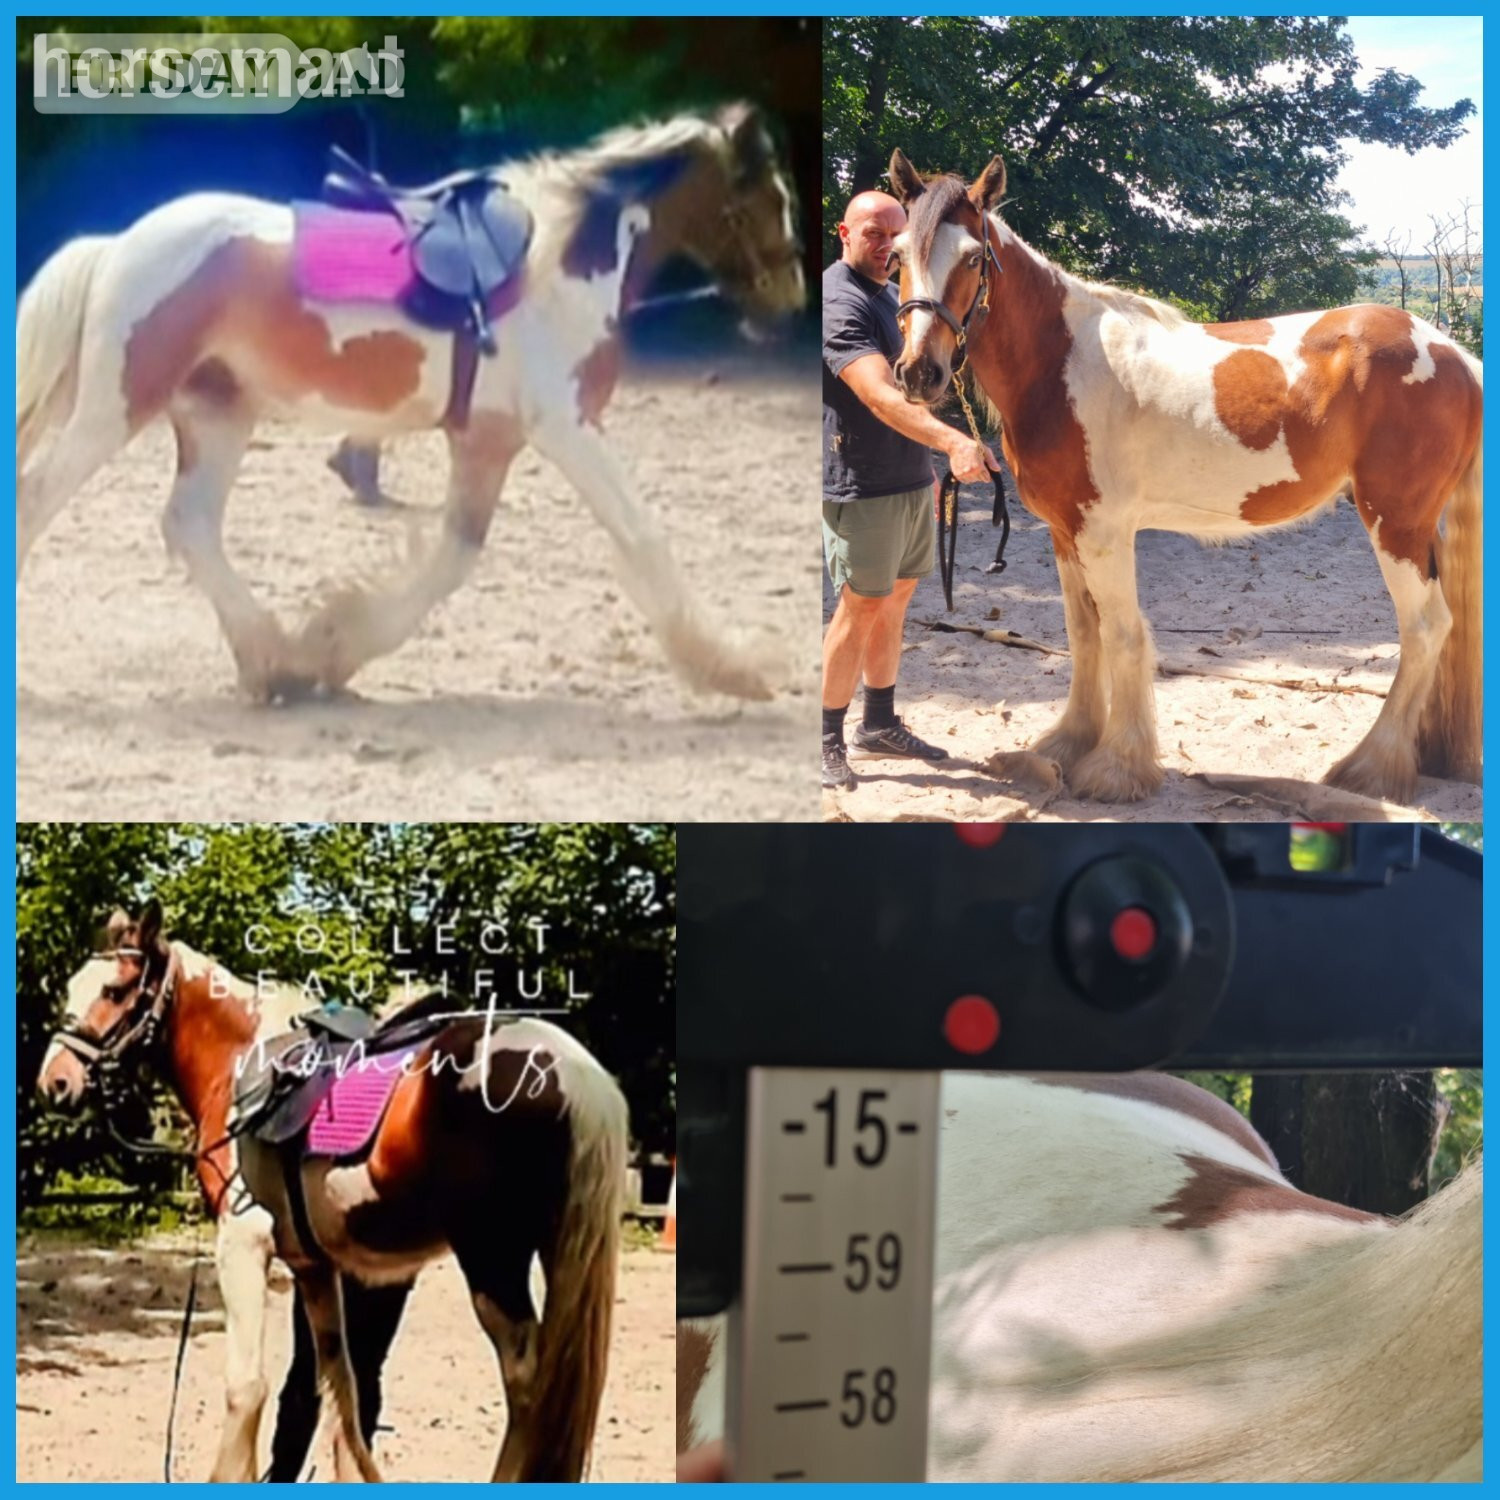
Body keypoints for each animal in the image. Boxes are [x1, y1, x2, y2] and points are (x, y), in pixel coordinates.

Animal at [16, 103, 804, 705]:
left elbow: (454, 556)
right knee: (39, 496)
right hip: (118, 407)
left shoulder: (488, 441)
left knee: (192, 526)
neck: (559, 269)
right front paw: (735, 667)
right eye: (768, 199)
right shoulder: (567, 428)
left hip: (218, 415)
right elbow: (642, 536)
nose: (790, 302)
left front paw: (333, 646)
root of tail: (119, 244)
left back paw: (275, 663)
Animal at [36, 901, 630, 1482]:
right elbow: (336, 1383)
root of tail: (575, 1071)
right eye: (73, 988)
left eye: (115, 991)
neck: (242, 1066)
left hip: (492, 1260)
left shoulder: (243, 1243)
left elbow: (247, 1387)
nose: (55, 1082)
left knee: (526, 1380)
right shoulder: (315, 1267)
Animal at [884, 149, 1483, 805]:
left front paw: (1117, 768)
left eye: (972, 257)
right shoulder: (1065, 532)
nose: (919, 373)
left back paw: (1371, 768)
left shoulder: (1104, 532)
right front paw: (1068, 743)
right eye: (896, 256)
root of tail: (1455, 354)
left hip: (1394, 522)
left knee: (1425, 627)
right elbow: (1083, 634)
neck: (1061, 364)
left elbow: (1122, 635)